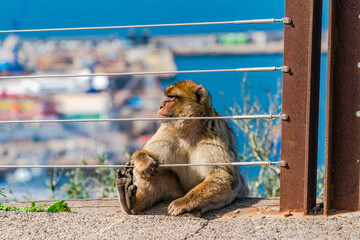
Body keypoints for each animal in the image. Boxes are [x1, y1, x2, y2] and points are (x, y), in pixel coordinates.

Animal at [116, 80, 248, 216]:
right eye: (167, 97)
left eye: (173, 97)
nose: (161, 105)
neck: (187, 131)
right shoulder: (166, 132)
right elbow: (147, 153)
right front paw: (143, 161)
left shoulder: (212, 137)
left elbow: (224, 178)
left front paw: (182, 203)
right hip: (173, 191)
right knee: (154, 171)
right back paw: (129, 200)